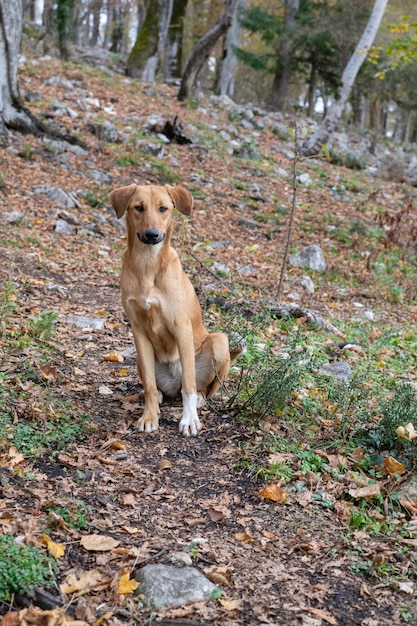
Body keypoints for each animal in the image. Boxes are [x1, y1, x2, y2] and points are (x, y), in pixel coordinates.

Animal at [109, 183, 240, 432]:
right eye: (139, 207)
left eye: (163, 208)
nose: (152, 235)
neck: (148, 265)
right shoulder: (138, 331)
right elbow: (149, 385)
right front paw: (149, 417)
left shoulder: (181, 328)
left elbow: (189, 384)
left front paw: (189, 420)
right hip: (141, 358)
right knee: (155, 384)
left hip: (220, 341)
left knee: (200, 387)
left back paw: (199, 398)